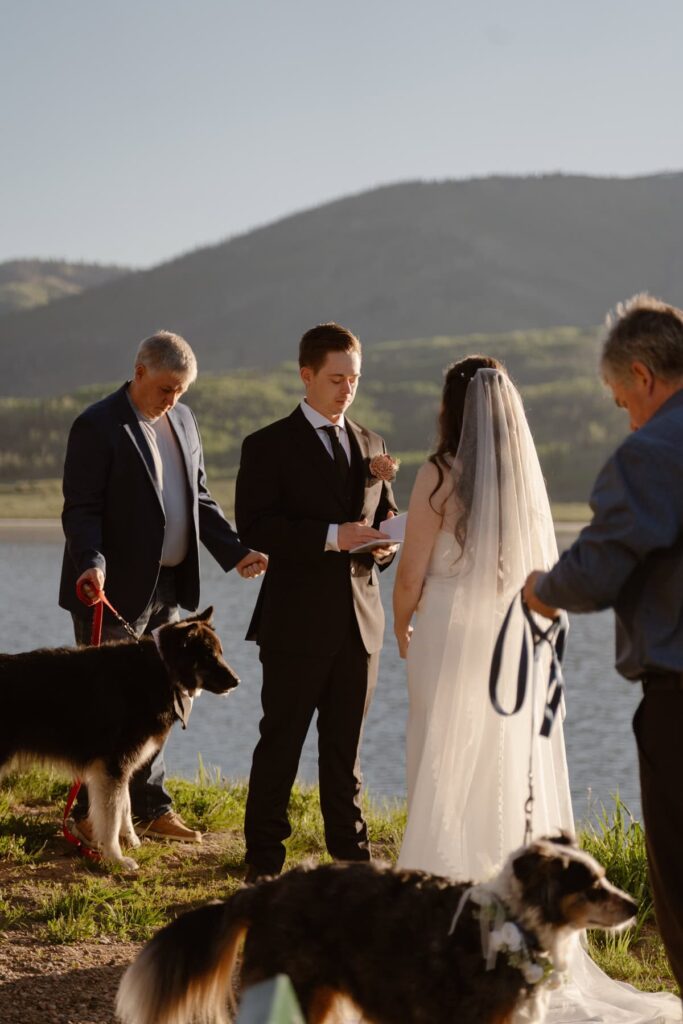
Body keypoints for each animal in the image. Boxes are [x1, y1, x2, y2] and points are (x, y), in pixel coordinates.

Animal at [0, 606, 237, 872]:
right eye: (209, 655)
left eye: (220, 653)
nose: (237, 681)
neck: (161, 670)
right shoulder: (114, 766)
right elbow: (111, 817)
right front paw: (116, 857)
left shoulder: (118, 769)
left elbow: (125, 805)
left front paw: (131, 840)